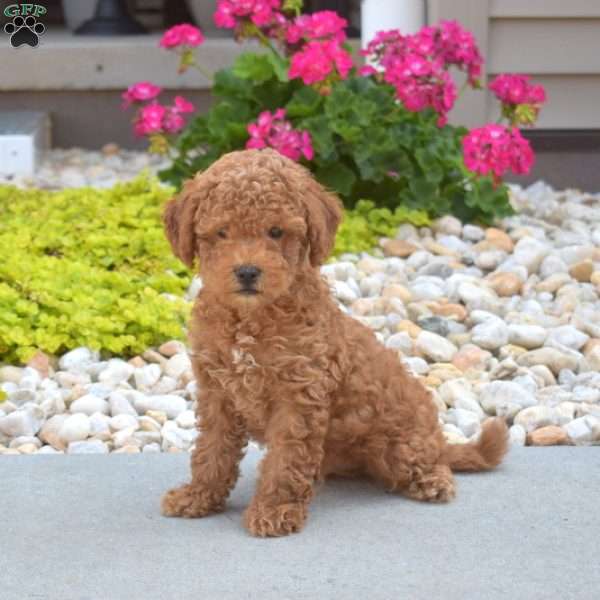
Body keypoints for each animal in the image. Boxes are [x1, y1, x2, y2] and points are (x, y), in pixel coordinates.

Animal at [159, 148, 506, 536]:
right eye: (221, 232)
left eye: (276, 231)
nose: (247, 271)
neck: (250, 320)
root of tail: (438, 437)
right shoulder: (217, 392)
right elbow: (211, 450)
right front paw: (197, 496)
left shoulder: (298, 395)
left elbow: (285, 461)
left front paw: (275, 510)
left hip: (402, 445)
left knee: (429, 461)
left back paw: (435, 480)